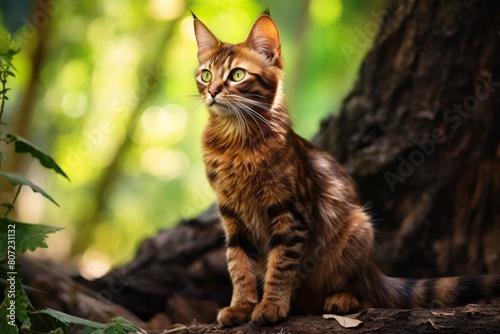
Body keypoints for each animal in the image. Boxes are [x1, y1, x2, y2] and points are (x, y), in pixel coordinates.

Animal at [191, 12, 500, 326]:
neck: (235, 143)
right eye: (206, 75)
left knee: (365, 295)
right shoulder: (232, 217)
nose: (213, 92)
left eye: (237, 75)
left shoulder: (291, 213)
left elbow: (280, 266)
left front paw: (272, 304)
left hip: (356, 229)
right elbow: (238, 265)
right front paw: (241, 305)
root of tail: (375, 270)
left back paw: (342, 299)